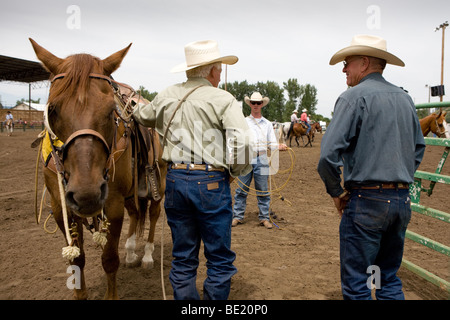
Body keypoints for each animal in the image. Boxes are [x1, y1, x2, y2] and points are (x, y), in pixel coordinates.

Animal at [30, 38, 167, 300]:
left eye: (109, 110)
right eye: (52, 110)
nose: (87, 193)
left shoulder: (112, 204)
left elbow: (109, 259)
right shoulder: (60, 208)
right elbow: (77, 260)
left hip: (158, 181)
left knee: (153, 214)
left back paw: (146, 255)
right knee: (136, 213)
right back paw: (131, 251)